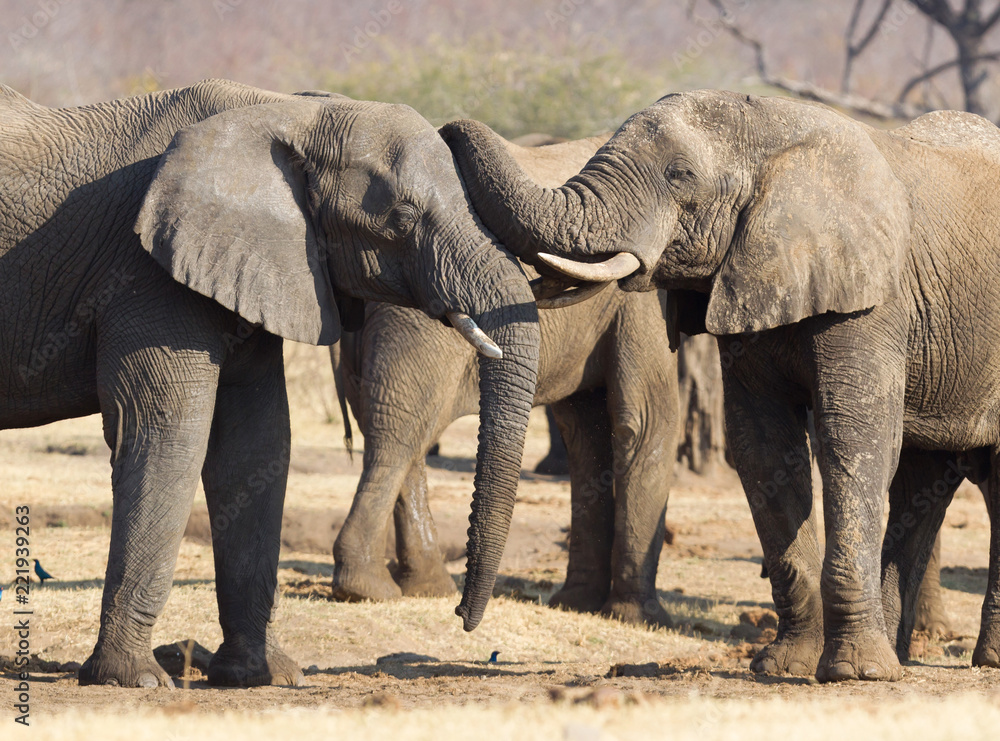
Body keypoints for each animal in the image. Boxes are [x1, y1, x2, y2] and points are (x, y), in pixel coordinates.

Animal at [0, 79, 541, 688]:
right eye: (401, 217)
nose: (460, 616)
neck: (286, 110)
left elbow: (255, 445)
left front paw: (264, 676)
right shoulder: (146, 274)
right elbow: (169, 435)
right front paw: (135, 679)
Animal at [330, 133, 677, 626]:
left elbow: (589, 432)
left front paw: (578, 605)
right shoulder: (642, 300)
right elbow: (645, 423)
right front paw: (638, 618)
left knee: (399, 432)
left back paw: (426, 589)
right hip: (417, 328)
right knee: (398, 435)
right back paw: (370, 590)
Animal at [441, 90, 1000, 681]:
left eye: (680, 174)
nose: (449, 126)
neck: (778, 133)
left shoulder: (872, 298)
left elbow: (854, 439)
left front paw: (853, 674)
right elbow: (761, 446)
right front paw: (784, 667)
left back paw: (974, 661)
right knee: (922, 477)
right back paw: (901, 656)